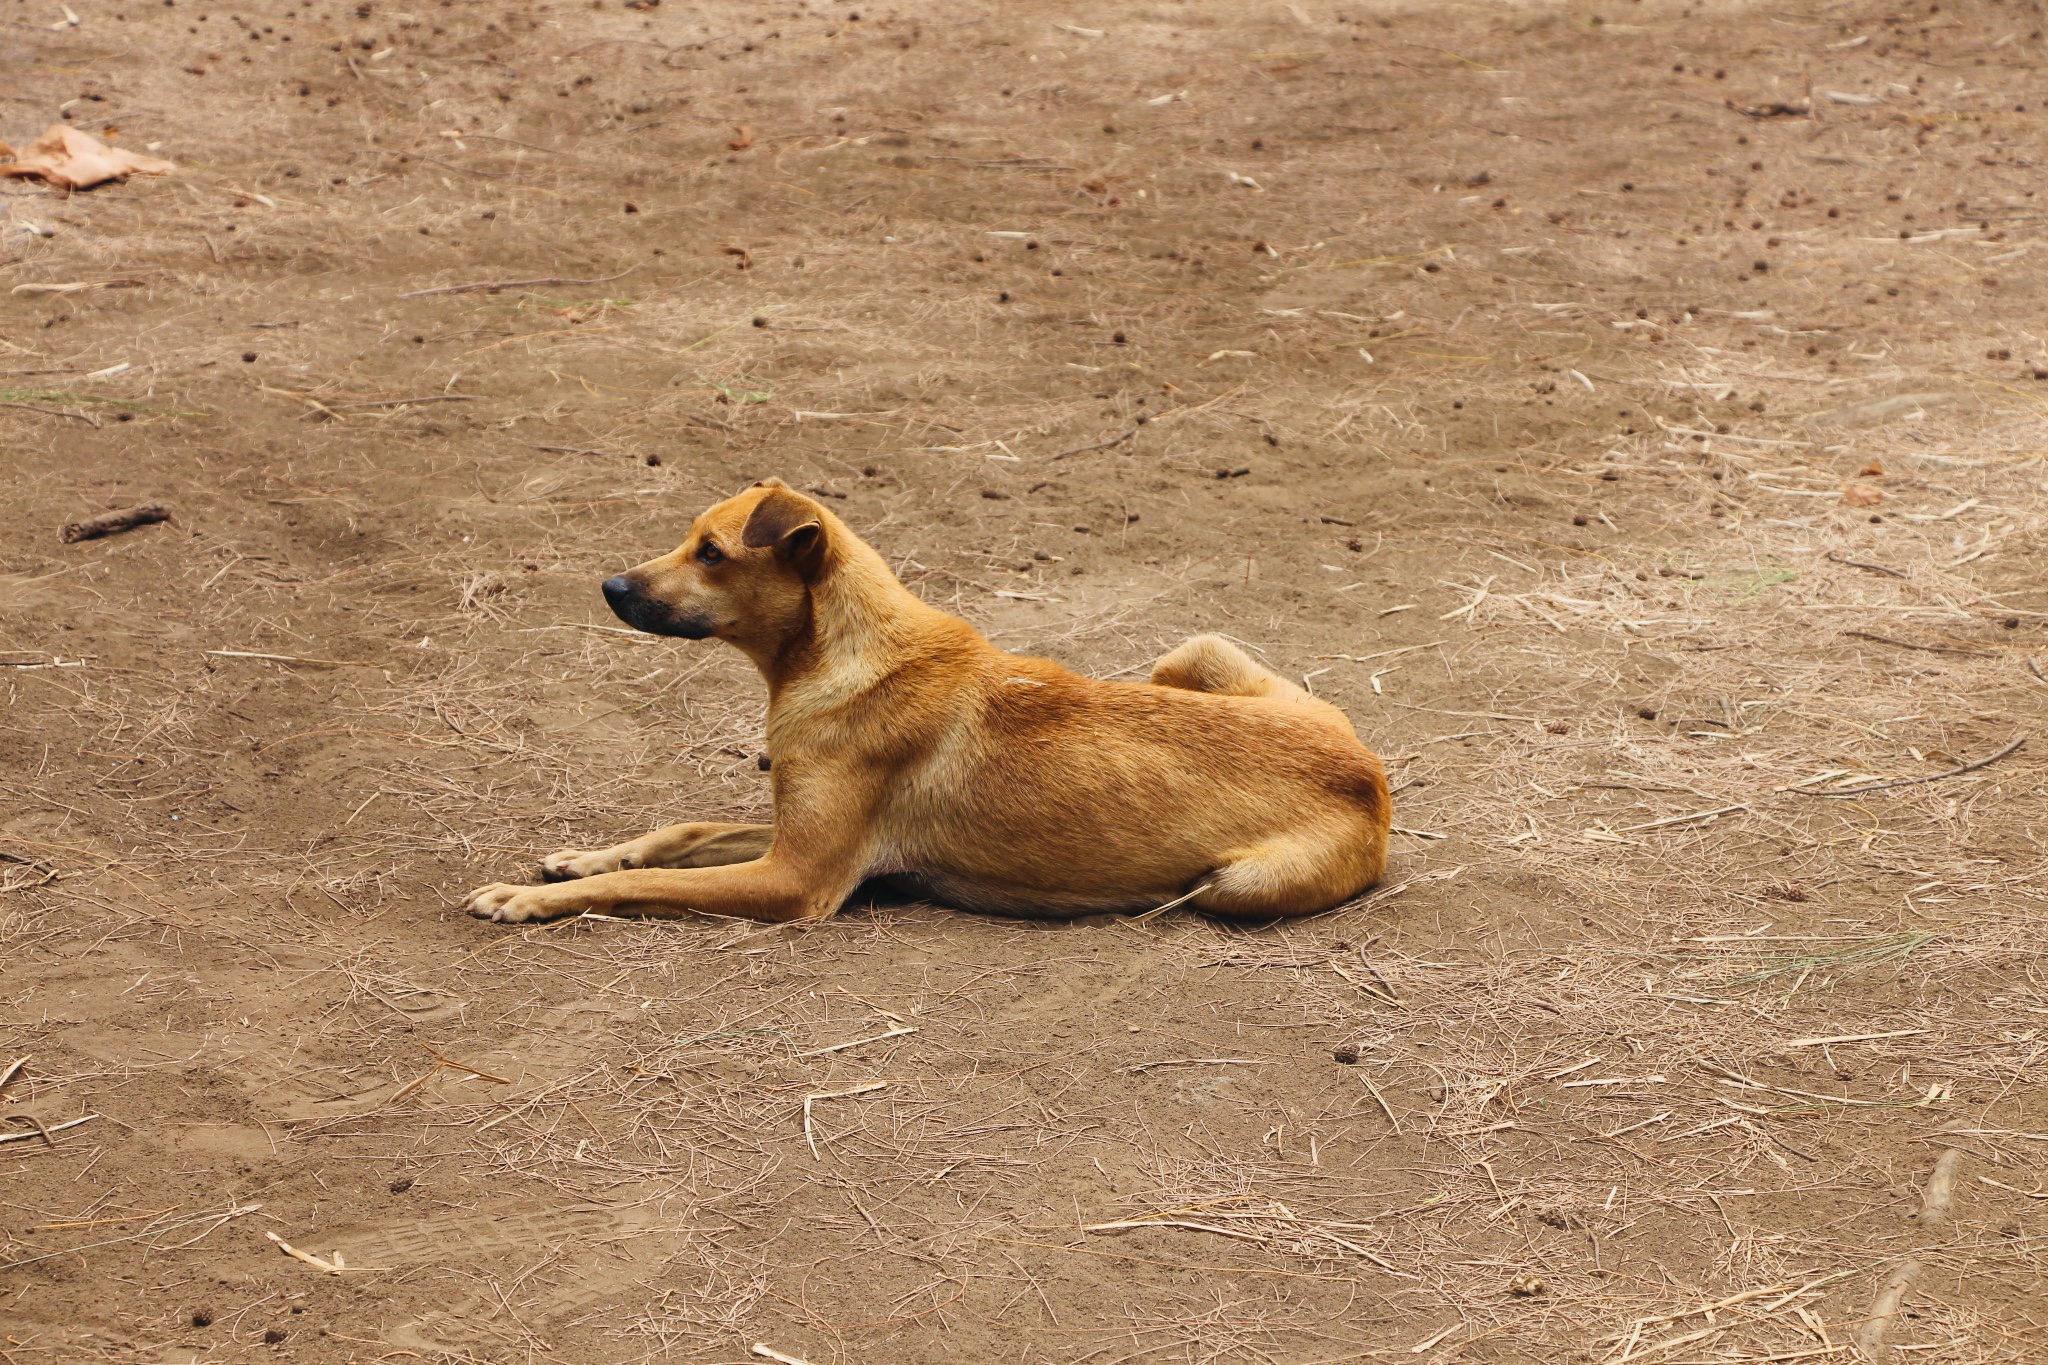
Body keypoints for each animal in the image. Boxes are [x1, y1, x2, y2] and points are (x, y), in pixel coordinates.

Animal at [466, 482, 1392, 929]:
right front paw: (580, 858)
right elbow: (677, 835)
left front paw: (525, 898)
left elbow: (651, 881)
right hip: (1189, 650)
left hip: (1230, 887)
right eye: (689, 539)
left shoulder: (797, 877)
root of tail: (1371, 772)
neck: (840, 652)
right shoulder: (793, 836)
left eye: (712, 553)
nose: (610, 586)